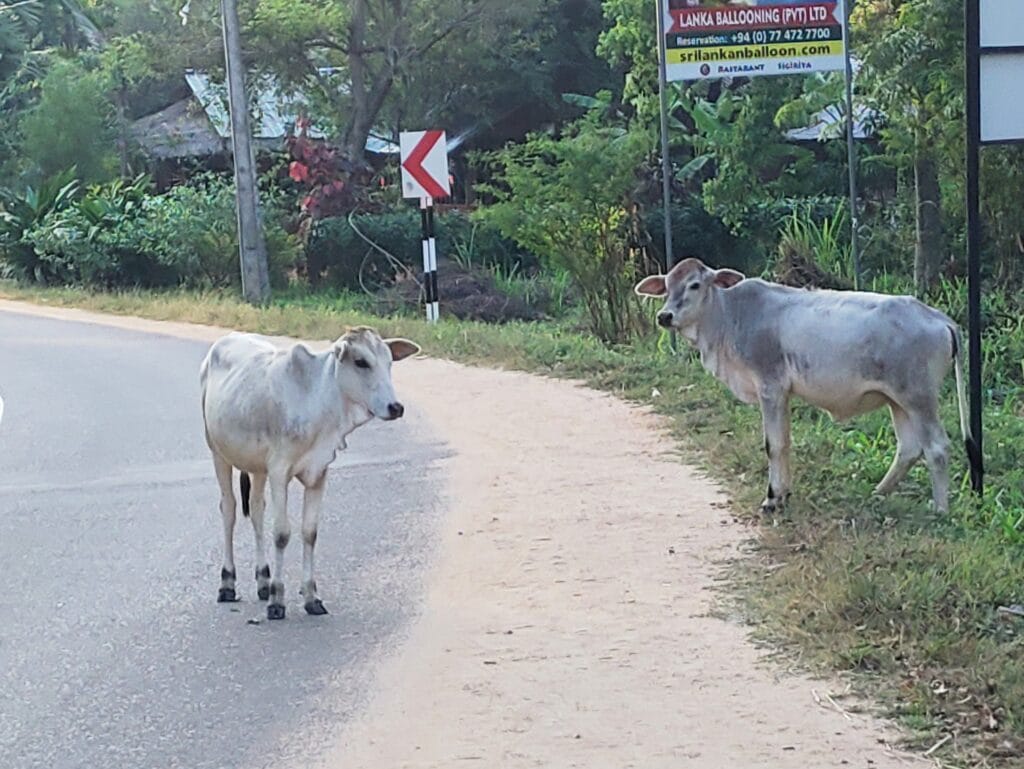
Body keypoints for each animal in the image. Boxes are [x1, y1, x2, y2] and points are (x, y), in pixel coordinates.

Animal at [199, 325, 419, 618]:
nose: (396, 407)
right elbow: (281, 534)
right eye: (361, 362)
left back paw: (263, 579)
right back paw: (227, 583)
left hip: (257, 468)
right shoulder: (279, 471)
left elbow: (309, 533)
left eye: (389, 362)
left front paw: (311, 597)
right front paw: (277, 600)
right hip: (218, 452)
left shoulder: (318, 472)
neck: (318, 400)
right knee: (229, 510)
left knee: (256, 510)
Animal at [630, 259, 974, 518]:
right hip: (898, 401)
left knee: (937, 448)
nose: (664, 316)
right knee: (909, 448)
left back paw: (940, 510)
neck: (729, 315)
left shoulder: (769, 387)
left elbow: (773, 445)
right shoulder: (782, 394)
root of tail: (939, 318)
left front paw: (771, 499)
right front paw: (783, 495)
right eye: (667, 286)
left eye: (695, 285)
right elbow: (784, 443)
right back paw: (878, 493)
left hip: (918, 398)